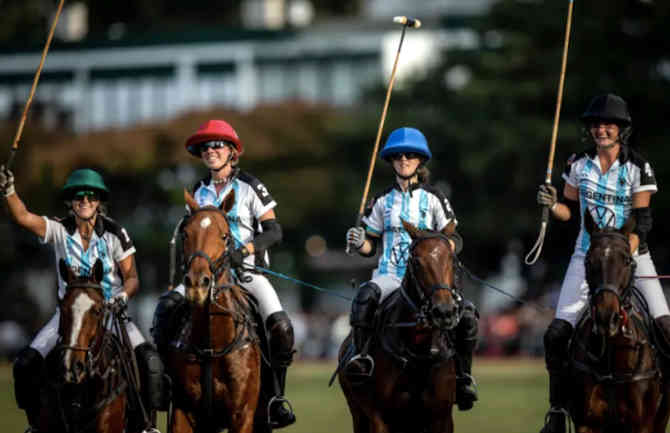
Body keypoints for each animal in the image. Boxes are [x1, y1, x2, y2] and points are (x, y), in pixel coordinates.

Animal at [165, 191, 262, 432]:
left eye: (225, 236)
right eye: (185, 235)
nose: (197, 285)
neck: (212, 345)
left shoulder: (242, 415)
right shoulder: (182, 411)